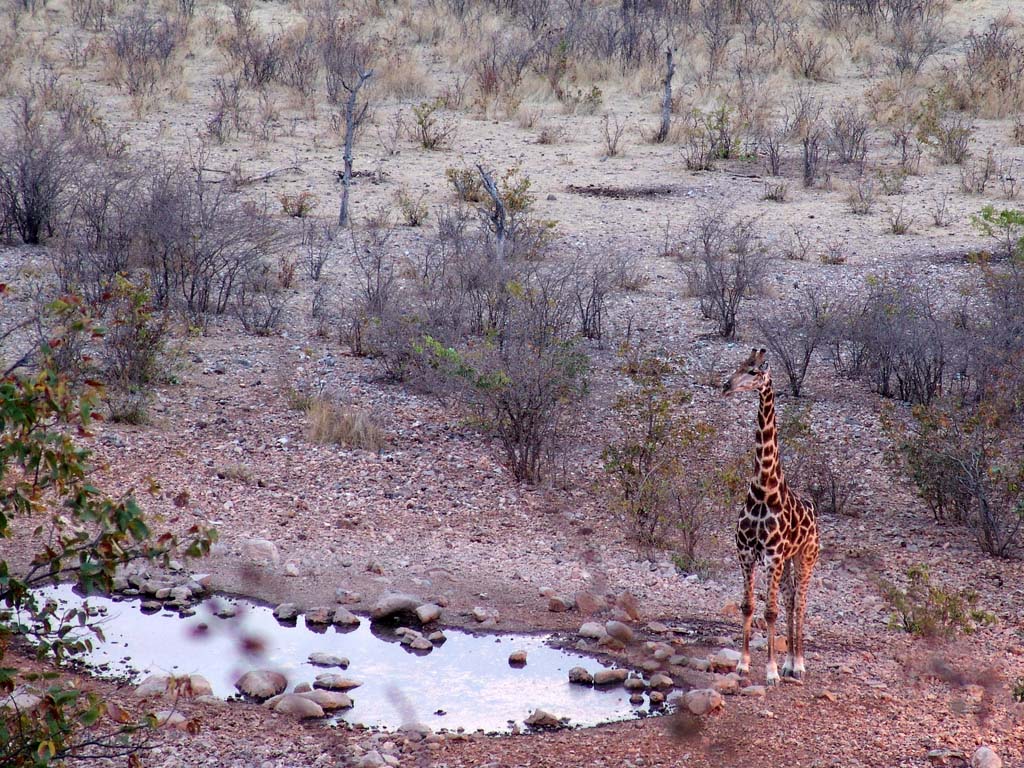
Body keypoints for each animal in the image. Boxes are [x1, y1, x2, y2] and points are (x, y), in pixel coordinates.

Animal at [720, 348, 823, 684]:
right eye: (739, 366)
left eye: (754, 371)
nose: (726, 386)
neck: (763, 492)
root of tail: (814, 512)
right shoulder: (745, 552)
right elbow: (748, 606)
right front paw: (743, 665)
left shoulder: (773, 555)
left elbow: (770, 611)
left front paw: (771, 672)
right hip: (789, 560)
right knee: (791, 600)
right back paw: (790, 662)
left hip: (806, 557)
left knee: (800, 603)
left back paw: (798, 665)